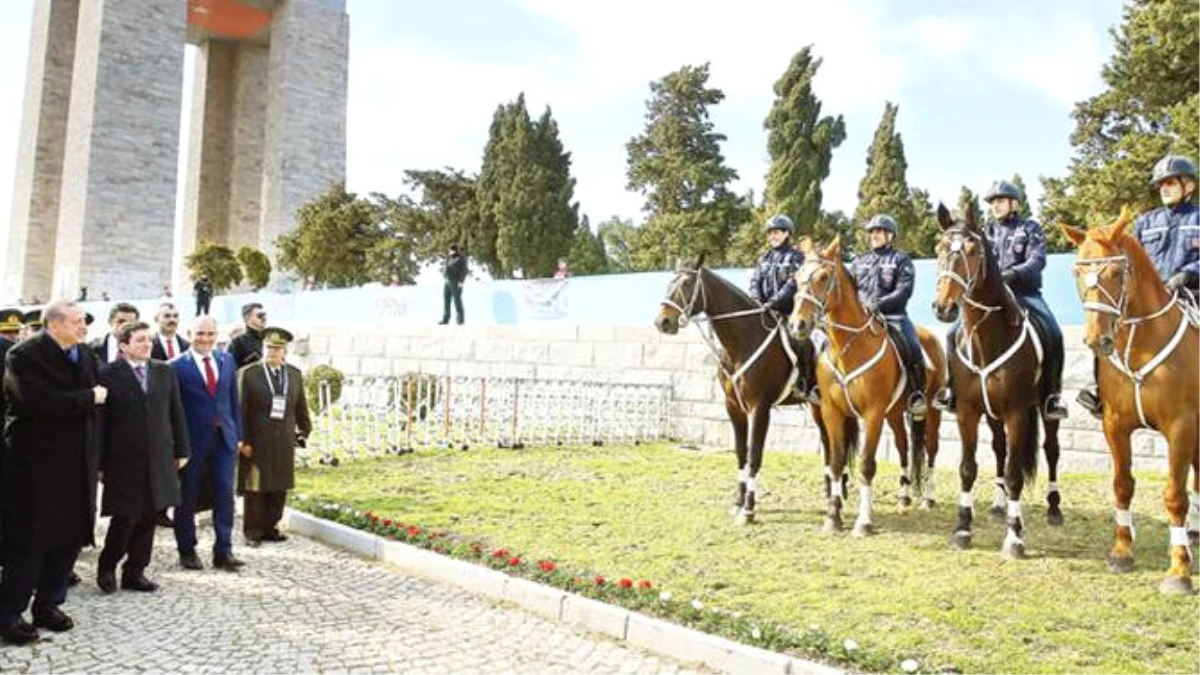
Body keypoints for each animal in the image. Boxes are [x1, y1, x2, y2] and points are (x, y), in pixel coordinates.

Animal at [652, 254, 830, 523]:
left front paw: (749, 509)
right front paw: (738, 501)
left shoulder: (760, 408)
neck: (744, 340)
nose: (663, 321)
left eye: (687, 283)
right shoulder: (733, 407)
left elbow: (754, 455)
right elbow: (740, 453)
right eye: (670, 282)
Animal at [792, 236, 950, 535]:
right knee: (903, 447)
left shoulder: (873, 413)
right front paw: (833, 518)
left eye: (823, 277)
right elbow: (836, 462)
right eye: (796, 277)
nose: (798, 324)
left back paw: (928, 498)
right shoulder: (832, 412)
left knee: (932, 449)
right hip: (895, 414)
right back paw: (904, 497)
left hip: (931, 411)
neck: (848, 348)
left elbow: (866, 465)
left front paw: (863, 522)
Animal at [926, 201, 1060, 554]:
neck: (987, 339)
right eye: (939, 248)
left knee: (1051, 449)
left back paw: (1054, 507)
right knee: (1000, 448)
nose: (943, 307)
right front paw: (962, 528)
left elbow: (1015, 473)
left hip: (1045, 409)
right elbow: (968, 468)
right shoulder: (968, 412)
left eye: (973, 251)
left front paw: (1014, 537)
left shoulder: (1017, 412)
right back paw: (1000, 505)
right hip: (993, 414)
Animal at [1060, 206, 1200, 593]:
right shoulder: (1115, 425)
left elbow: (1174, 495)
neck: (1142, 342)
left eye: (1117, 272)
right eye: (1078, 271)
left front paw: (1179, 569)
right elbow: (1122, 485)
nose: (1098, 341)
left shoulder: (1182, 428)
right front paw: (1122, 551)